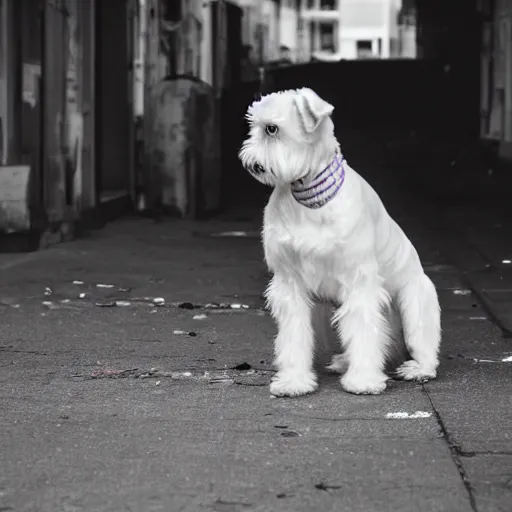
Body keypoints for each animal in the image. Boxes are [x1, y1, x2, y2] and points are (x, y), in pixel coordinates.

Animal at [238, 90, 442, 398]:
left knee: (419, 346)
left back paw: (418, 368)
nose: (250, 162)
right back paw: (345, 361)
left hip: (413, 303)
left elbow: (365, 331)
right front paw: (294, 381)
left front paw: (364, 380)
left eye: (271, 129)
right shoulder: (290, 284)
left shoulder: (360, 283)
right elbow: (294, 337)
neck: (308, 198)